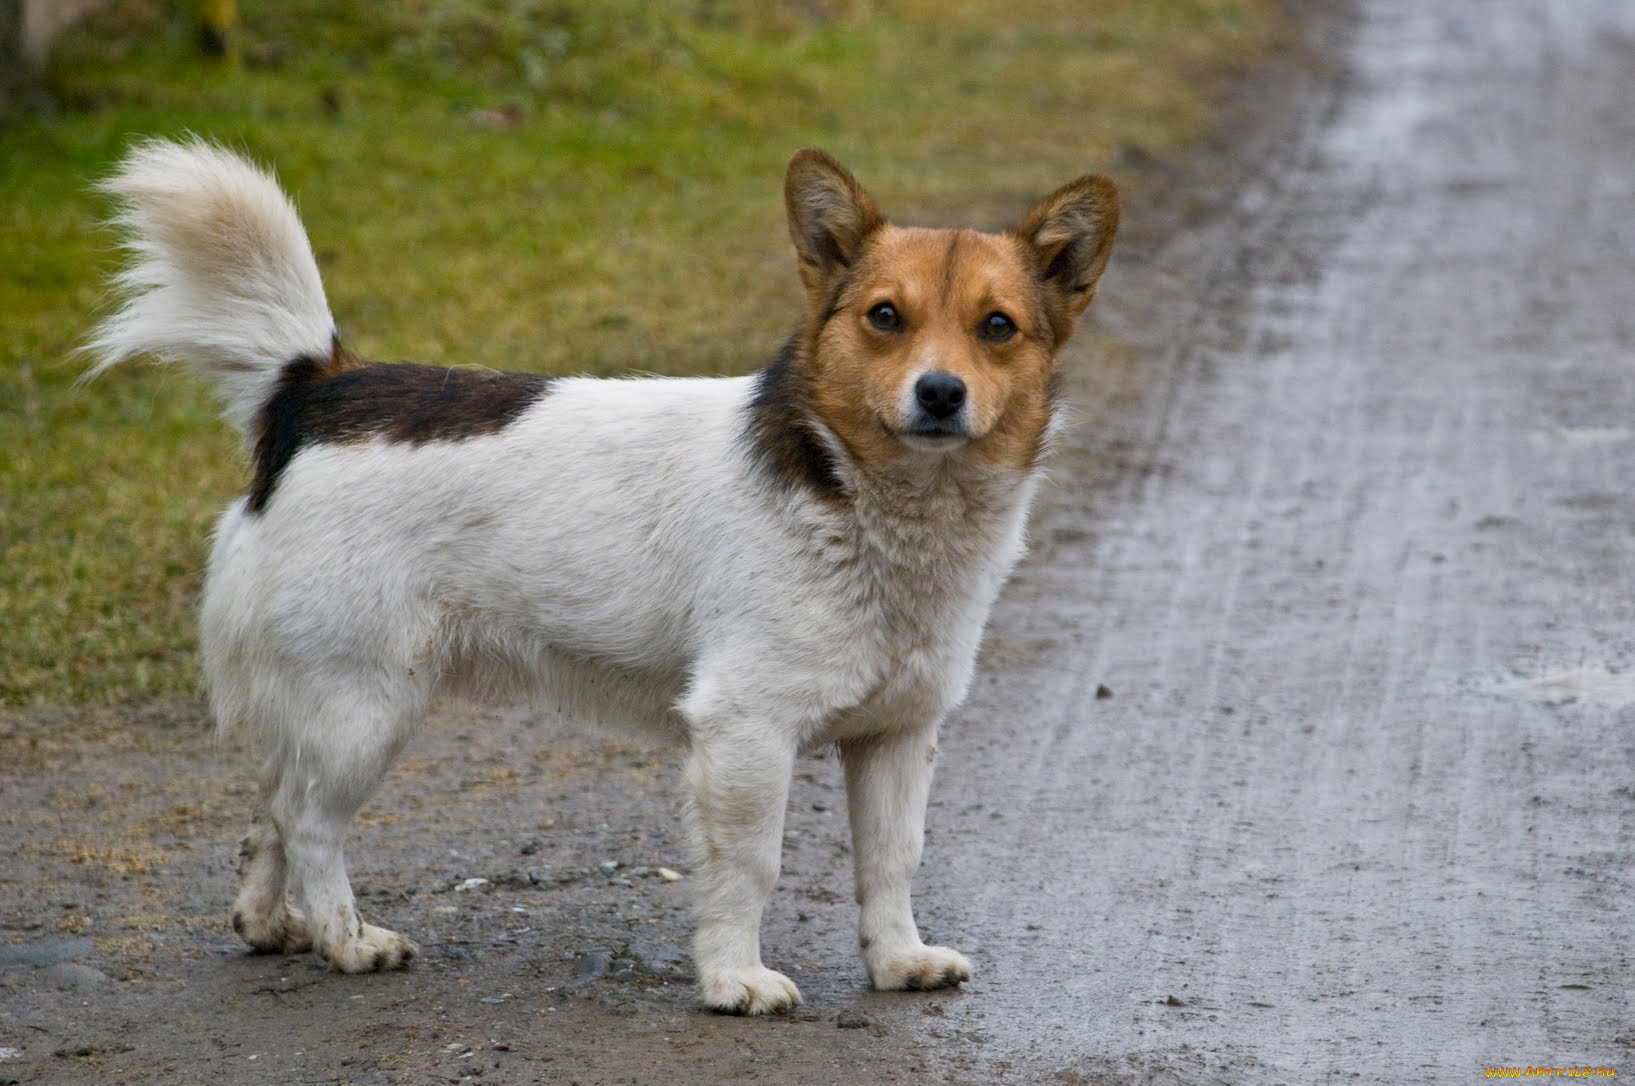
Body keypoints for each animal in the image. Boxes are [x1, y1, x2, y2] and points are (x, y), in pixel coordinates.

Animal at [86, 139, 1111, 1014]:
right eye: (885, 318)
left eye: (996, 328)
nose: (939, 393)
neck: (868, 502)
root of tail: (322, 386)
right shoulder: (744, 732)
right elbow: (750, 867)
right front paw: (732, 978)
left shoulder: (898, 736)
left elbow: (891, 862)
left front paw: (895, 960)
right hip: (363, 709)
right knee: (307, 821)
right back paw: (346, 938)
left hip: (323, 702)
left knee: (270, 804)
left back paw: (271, 922)